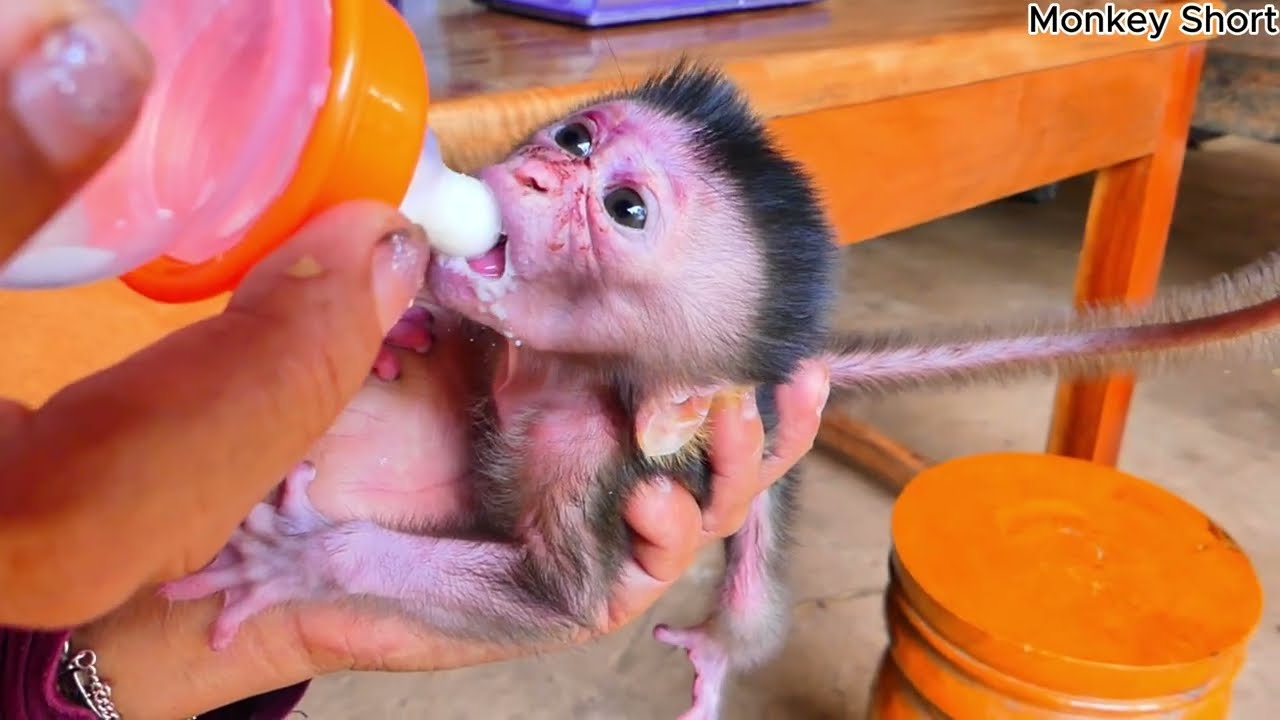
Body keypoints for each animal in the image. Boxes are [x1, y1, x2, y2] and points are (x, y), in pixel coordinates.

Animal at [161, 60, 1280, 720]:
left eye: (622, 208)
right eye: (576, 139)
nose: (531, 175)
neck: (550, 374)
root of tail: (782, 375)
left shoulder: (595, 454)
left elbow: (556, 601)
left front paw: (309, 561)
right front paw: (401, 317)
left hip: (764, 469)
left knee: (749, 580)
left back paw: (716, 654)